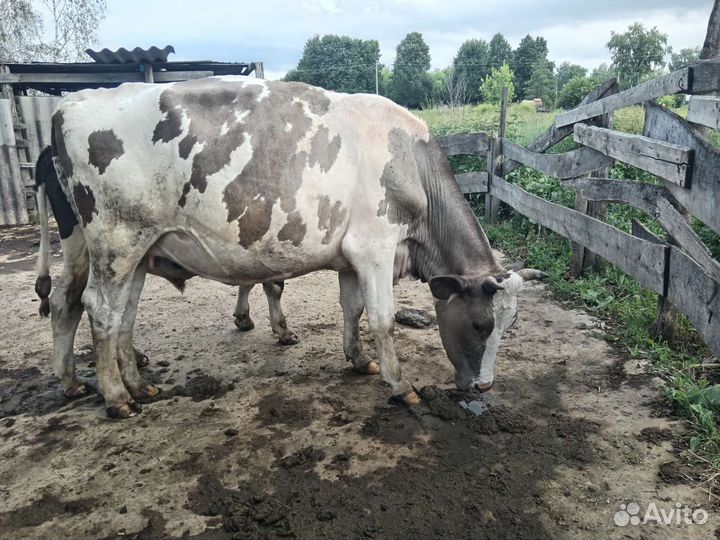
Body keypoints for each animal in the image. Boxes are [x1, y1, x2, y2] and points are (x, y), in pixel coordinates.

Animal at [35, 76, 545, 418]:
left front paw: (358, 359)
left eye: (511, 324)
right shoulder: (376, 248)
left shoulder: (351, 258)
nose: (484, 387)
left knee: (99, 310)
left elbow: (352, 309)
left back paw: (119, 385)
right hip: (116, 240)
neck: (410, 165)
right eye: (480, 324)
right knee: (99, 309)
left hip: (134, 249)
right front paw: (400, 385)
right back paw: (116, 397)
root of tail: (73, 102)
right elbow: (382, 319)